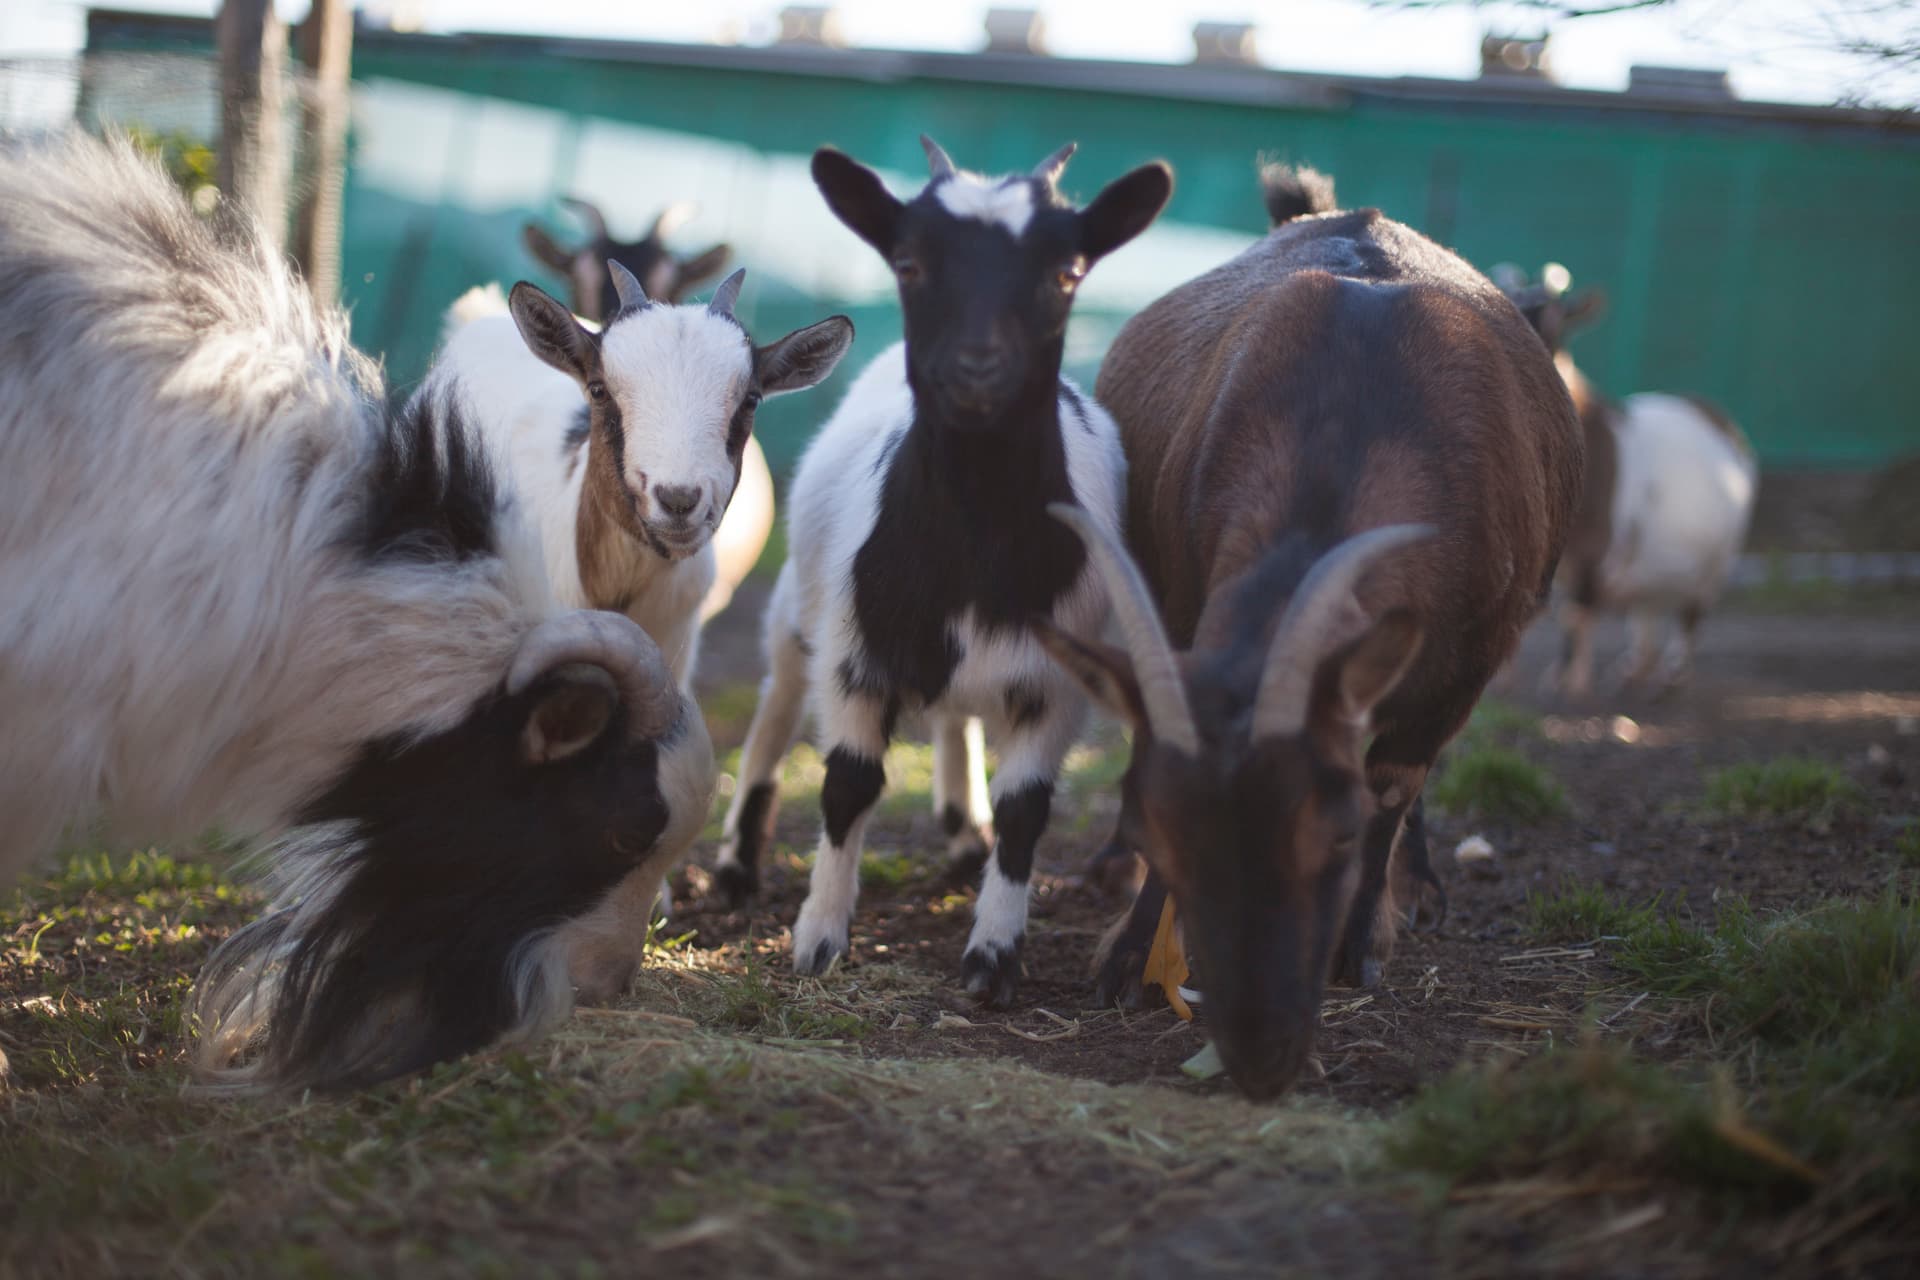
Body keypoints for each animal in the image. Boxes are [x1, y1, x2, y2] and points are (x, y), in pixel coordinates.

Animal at [712, 137, 1172, 1002]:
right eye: (908, 262)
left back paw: (964, 834)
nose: (978, 370)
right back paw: (734, 867)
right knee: (775, 707)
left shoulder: (1055, 678)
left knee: (958, 720)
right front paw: (818, 938)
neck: (974, 552)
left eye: (1068, 270)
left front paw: (993, 956)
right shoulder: (855, 657)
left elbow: (1026, 809)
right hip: (799, 609)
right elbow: (848, 783)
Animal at [1033, 164, 1583, 1098]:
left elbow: (1396, 784)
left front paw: (1363, 942)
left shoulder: (1467, 663)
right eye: (1161, 832)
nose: (1260, 1051)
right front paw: (1129, 955)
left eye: (1332, 833)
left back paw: (1418, 890)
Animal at [1496, 264, 1758, 696]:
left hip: (1720, 557)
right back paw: (1636, 666)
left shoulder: (1593, 552)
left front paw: (1568, 680)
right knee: (1647, 604)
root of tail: (1719, 419)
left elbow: (1576, 614)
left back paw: (1672, 673)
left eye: (1558, 325)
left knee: (1692, 612)